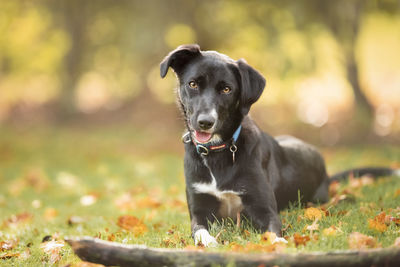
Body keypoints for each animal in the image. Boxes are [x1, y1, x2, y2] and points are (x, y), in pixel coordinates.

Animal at [159, 44, 396, 247]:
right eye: (193, 84)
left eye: (226, 89)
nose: (205, 122)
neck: (220, 151)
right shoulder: (199, 209)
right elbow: (199, 230)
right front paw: (208, 241)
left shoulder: (263, 209)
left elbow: (272, 230)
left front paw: (279, 243)